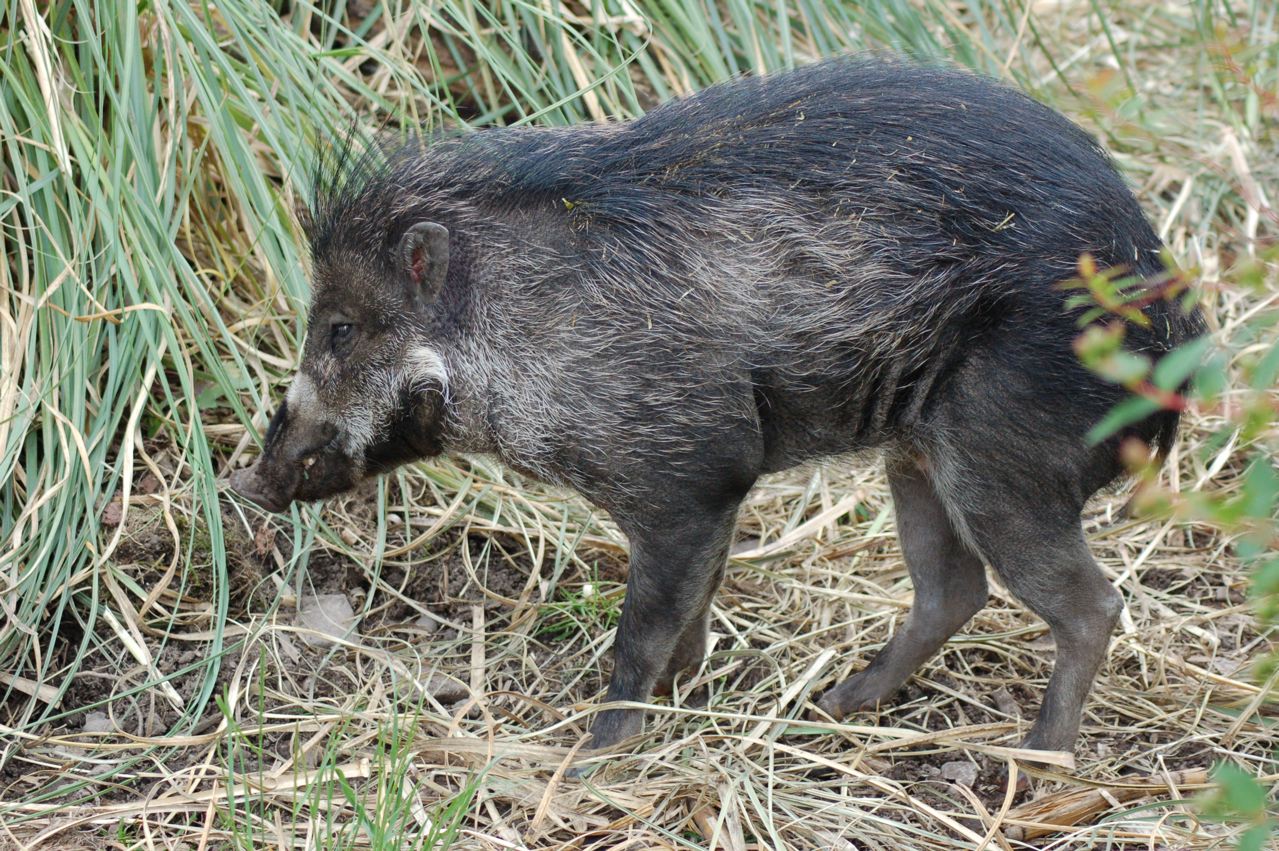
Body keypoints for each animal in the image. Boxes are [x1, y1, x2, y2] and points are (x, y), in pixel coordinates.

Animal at [230, 57, 1203, 758]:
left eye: (342, 328)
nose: (247, 483)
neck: (516, 327)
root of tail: (1172, 328)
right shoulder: (710, 495)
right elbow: (690, 613)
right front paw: (680, 700)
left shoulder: (689, 481)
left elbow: (644, 631)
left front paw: (590, 755)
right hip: (915, 453)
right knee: (951, 589)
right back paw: (835, 704)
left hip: (1003, 462)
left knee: (1089, 605)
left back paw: (1034, 762)